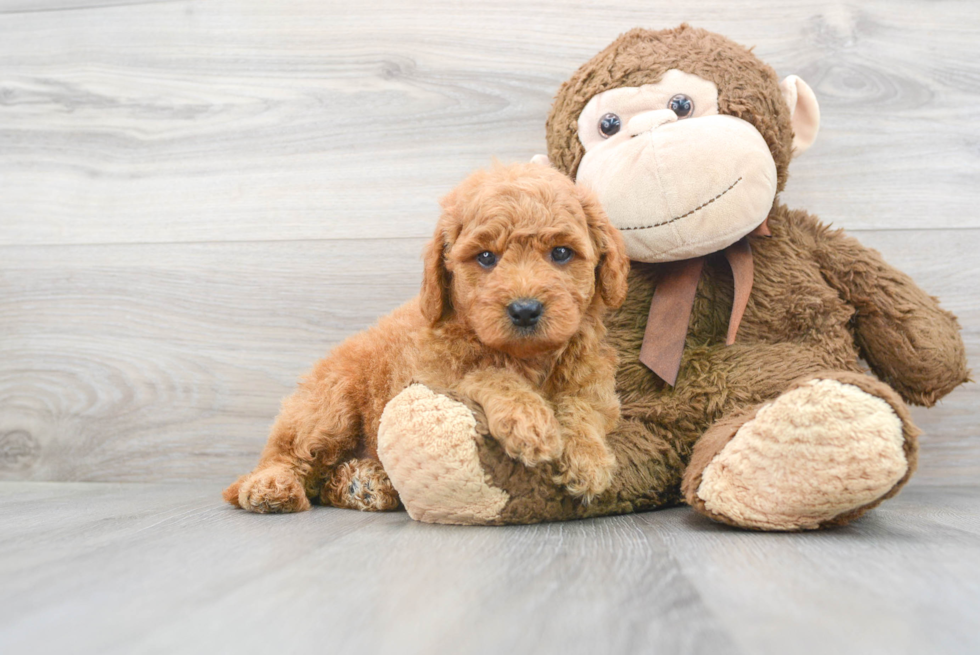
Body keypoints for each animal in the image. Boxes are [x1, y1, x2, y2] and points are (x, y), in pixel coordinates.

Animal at [222, 161, 628, 516]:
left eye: (561, 252)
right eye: (486, 257)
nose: (525, 310)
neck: (529, 357)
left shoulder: (593, 383)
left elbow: (581, 406)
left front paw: (588, 459)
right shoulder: (435, 377)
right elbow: (488, 373)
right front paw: (529, 421)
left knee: (323, 483)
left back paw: (365, 484)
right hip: (328, 405)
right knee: (287, 456)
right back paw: (270, 488)